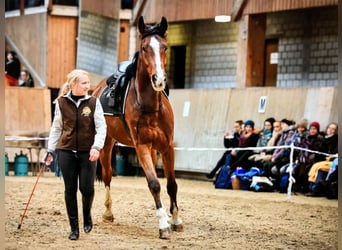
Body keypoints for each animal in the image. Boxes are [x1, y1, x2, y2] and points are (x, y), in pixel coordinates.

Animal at [91, 16, 183, 239]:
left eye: (165, 47)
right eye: (144, 48)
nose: (159, 79)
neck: (150, 107)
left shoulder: (167, 147)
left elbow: (171, 185)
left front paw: (175, 219)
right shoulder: (141, 146)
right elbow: (154, 184)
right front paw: (163, 225)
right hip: (107, 144)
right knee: (107, 175)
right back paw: (108, 213)